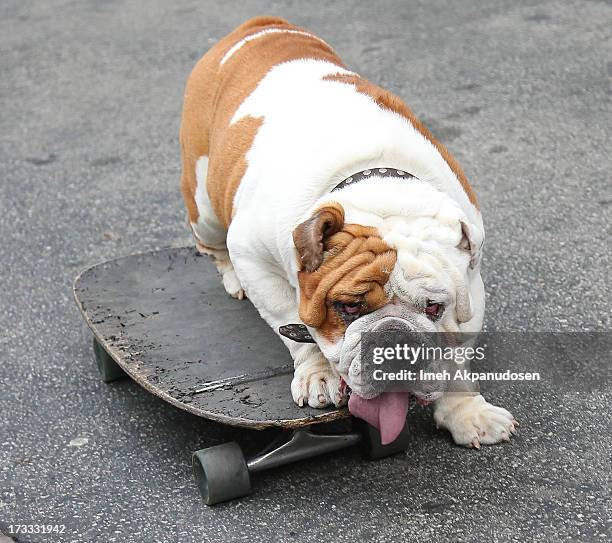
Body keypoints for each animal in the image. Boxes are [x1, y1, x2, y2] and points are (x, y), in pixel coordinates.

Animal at [180, 18, 516, 450]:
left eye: (434, 308)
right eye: (348, 308)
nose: (394, 342)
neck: (381, 192)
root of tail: (260, 25)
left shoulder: (470, 293)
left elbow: (455, 358)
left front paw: (467, 412)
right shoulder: (255, 258)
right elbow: (292, 323)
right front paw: (318, 374)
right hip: (204, 203)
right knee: (213, 244)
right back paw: (232, 279)